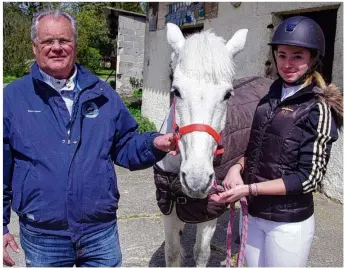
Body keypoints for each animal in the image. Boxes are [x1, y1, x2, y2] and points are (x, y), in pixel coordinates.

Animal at [156, 24, 249, 266]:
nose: (196, 180)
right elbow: (172, 251)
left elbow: (201, 252)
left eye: (228, 94)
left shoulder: (209, 210)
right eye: (176, 91)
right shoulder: (169, 207)